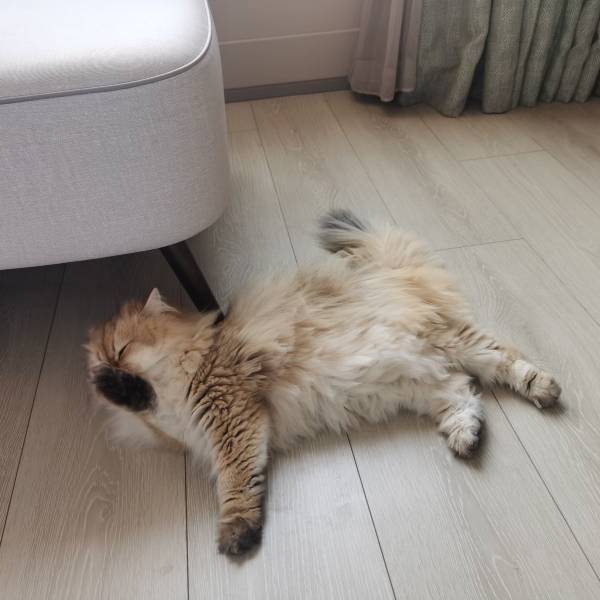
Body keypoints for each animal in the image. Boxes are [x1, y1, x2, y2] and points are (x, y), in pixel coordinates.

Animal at [86, 210, 561, 557]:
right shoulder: (178, 424)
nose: (107, 367)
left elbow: (235, 483)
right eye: (105, 355)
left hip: (454, 342)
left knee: (505, 358)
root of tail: (388, 273)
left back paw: (544, 388)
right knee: (462, 392)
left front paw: (236, 532)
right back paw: (467, 436)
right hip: (424, 382)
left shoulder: (231, 416)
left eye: (123, 349)